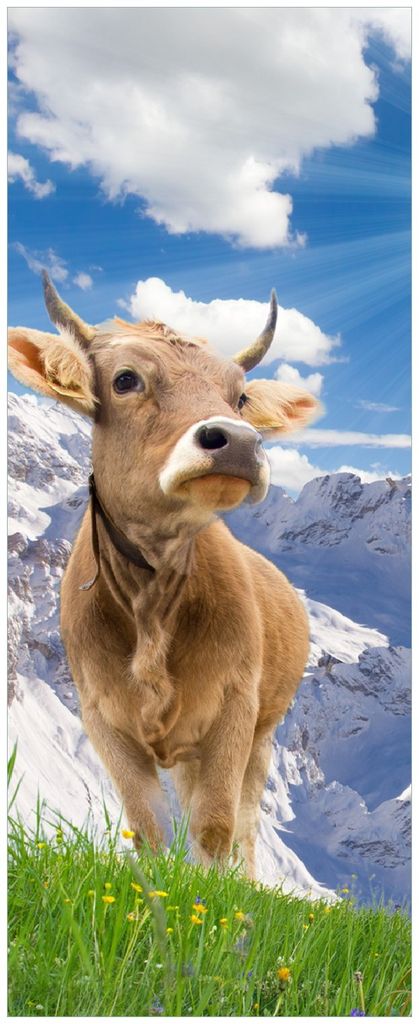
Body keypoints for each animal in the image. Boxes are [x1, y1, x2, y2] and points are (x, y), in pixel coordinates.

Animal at [8, 273, 321, 878]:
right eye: (126, 379)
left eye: (239, 396)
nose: (239, 441)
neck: (151, 604)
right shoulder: (103, 719)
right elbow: (149, 828)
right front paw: (159, 891)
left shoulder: (235, 706)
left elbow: (216, 825)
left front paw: (214, 897)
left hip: (263, 732)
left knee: (246, 822)